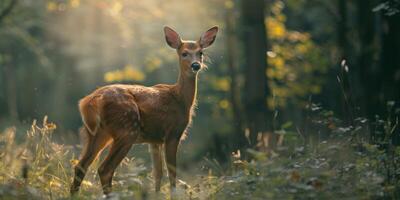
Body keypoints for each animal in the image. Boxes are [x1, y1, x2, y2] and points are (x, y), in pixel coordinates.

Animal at [69, 25, 219, 195]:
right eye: (184, 53)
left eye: (201, 52)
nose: (196, 65)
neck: (181, 99)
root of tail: (89, 101)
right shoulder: (173, 133)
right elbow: (172, 172)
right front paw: (173, 194)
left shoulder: (154, 140)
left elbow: (157, 173)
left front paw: (157, 194)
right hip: (127, 130)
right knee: (105, 169)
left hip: (96, 132)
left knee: (81, 166)